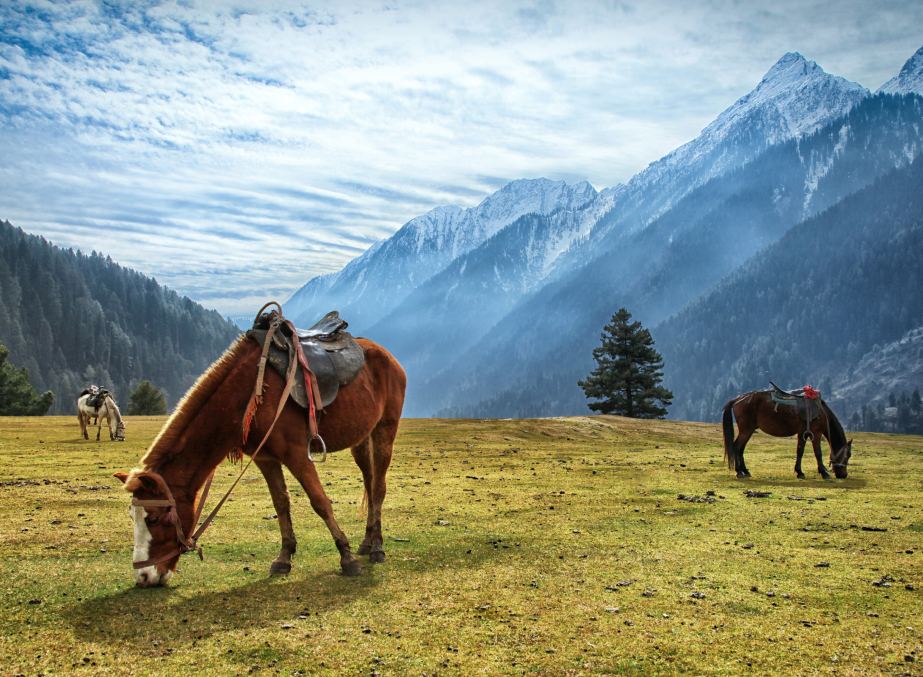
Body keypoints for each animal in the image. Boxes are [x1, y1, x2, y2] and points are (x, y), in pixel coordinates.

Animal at [113, 332, 406, 588]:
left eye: (153, 519)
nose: (143, 577)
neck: (247, 393)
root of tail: (387, 356)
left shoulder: (297, 454)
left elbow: (320, 502)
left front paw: (346, 557)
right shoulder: (265, 458)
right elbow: (281, 504)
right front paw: (284, 558)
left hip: (384, 430)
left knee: (378, 488)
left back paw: (377, 548)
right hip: (361, 439)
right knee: (369, 484)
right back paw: (367, 542)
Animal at [720, 388, 852, 478]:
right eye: (848, 455)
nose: (844, 475)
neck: (822, 413)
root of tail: (737, 400)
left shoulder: (803, 433)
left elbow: (800, 451)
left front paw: (799, 472)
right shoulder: (816, 433)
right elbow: (818, 453)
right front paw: (824, 472)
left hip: (748, 430)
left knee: (741, 448)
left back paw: (745, 471)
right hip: (747, 429)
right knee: (736, 446)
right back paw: (739, 471)